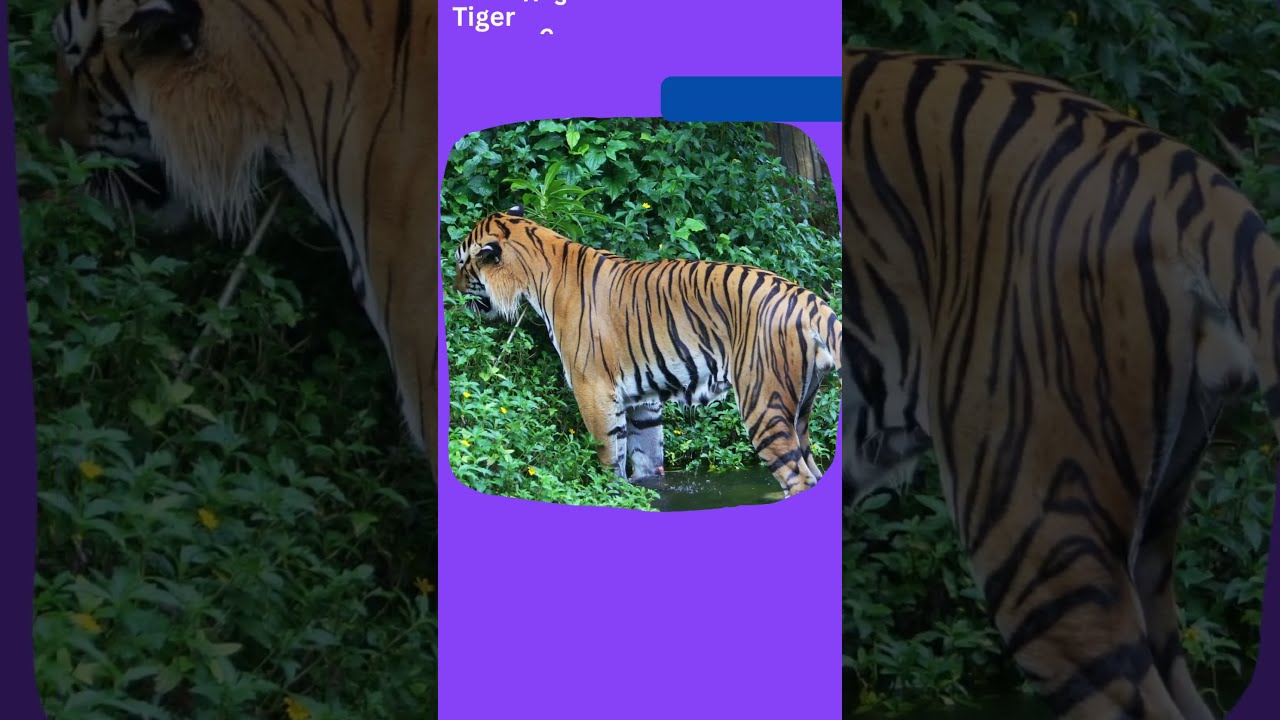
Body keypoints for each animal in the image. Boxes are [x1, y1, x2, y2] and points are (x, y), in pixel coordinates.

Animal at [452, 206, 841, 497]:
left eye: (460, 263)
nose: (452, 292)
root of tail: (808, 299)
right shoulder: (642, 401)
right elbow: (646, 462)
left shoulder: (593, 389)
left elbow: (609, 457)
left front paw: (610, 494)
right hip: (801, 413)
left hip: (763, 403)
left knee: (797, 477)